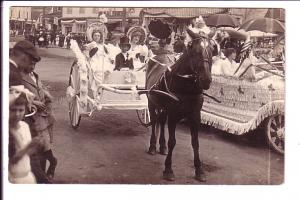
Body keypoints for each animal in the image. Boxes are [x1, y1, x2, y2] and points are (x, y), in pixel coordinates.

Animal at [144, 29, 217, 181]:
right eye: (194, 50)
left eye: (213, 50)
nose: (206, 80)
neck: (186, 85)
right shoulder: (173, 114)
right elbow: (173, 141)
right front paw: (168, 169)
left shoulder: (195, 116)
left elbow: (195, 142)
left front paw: (199, 170)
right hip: (151, 102)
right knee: (154, 122)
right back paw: (153, 146)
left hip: (163, 108)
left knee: (161, 121)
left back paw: (162, 146)